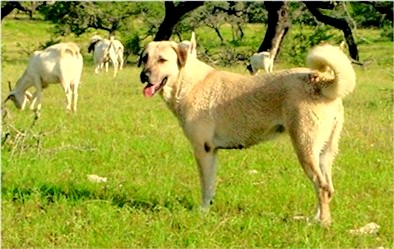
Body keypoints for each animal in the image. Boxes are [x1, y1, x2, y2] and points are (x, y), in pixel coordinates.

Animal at [139, 33, 358, 226]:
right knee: (328, 187)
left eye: (162, 60)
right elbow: (211, 185)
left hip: (305, 148)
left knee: (322, 187)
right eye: (145, 58)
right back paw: (315, 218)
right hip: (324, 153)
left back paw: (323, 224)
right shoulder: (213, 152)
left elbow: (205, 186)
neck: (188, 82)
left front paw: (202, 213)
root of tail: (321, 81)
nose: (143, 75)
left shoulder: (203, 150)